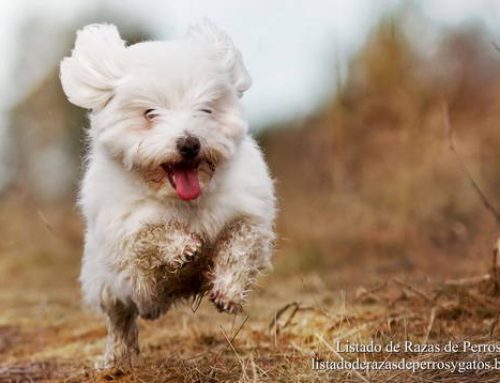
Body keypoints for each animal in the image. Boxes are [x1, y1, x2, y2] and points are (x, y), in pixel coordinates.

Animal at [61, 21, 278, 368]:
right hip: (105, 283)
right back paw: (115, 358)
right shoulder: (126, 230)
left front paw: (228, 291)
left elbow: (239, 247)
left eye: (206, 109)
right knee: (120, 320)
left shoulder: (247, 213)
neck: (183, 200)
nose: (189, 143)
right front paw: (182, 247)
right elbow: (148, 236)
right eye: (150, 113)